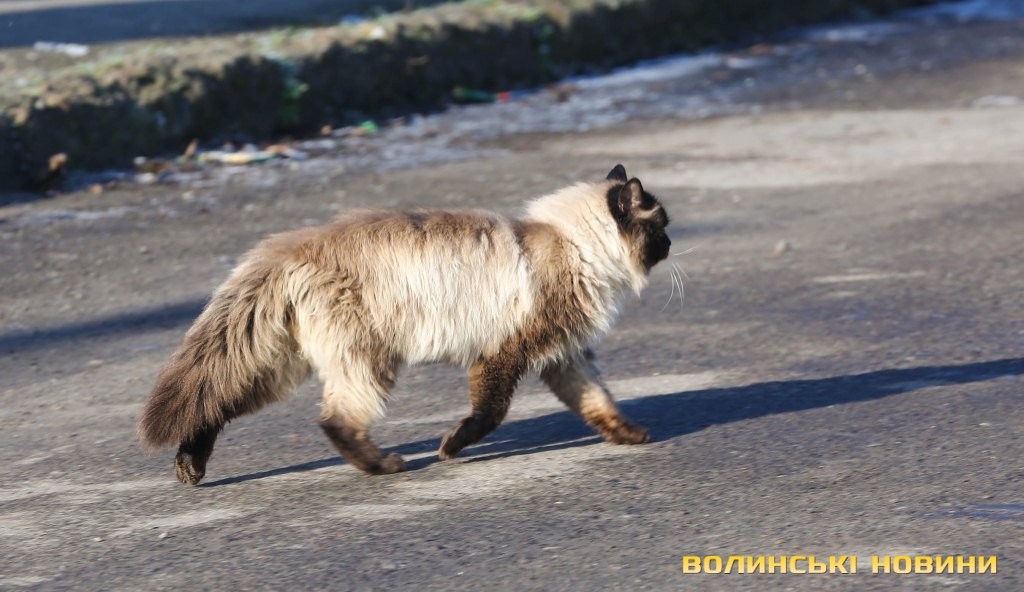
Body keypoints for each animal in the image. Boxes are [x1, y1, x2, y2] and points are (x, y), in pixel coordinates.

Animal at [138, 164, 671, 485]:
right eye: (660, 225)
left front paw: (631, 435)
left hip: (278, 366)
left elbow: (598, 402)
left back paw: (190, 467)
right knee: (335, 422)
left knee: (214, 404)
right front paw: (450, 449)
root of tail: (286, 248)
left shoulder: (564, 356)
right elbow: (488, 414)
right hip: (368, 362)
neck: (573, 245)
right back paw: (385, 466)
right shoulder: (506, 354)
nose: (671, 243)